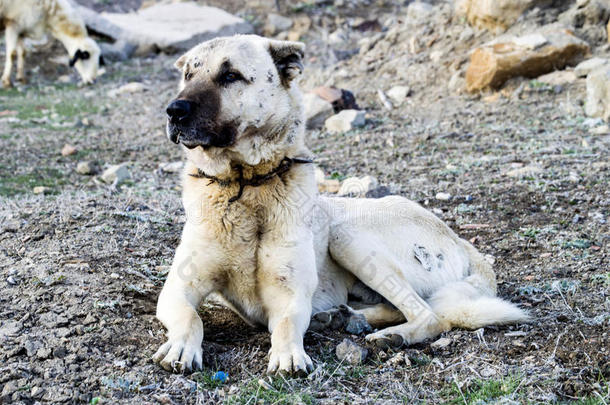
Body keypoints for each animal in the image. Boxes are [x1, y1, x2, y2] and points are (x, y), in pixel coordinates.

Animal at [153, 34, 528, 376]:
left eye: (230, 75)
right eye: (188, 75)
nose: (174, 111)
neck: (246, 185)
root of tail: (459, 239)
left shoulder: (290, 294)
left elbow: (288, 324)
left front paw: (289, 355)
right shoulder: (177, 289)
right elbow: (191, 316)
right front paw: (181, 347)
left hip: (347, 235)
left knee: (429, 314)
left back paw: (388, 334)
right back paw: (344, 316)